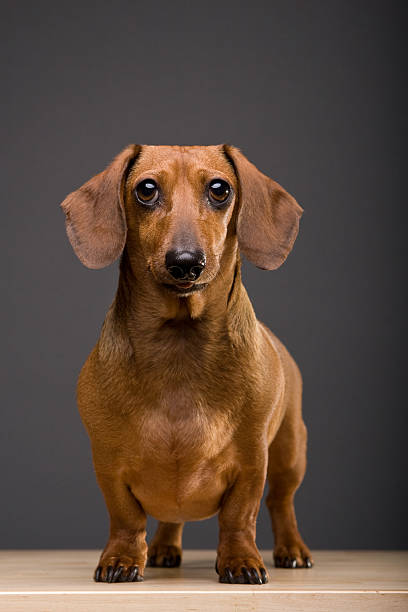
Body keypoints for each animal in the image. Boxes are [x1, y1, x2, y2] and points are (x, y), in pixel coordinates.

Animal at [60, 143, 312, 584]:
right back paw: (163, 548)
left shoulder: (252, 462)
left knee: (281, 503)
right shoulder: (107, 462)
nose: (185, 262)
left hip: (289, 452)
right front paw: (122, 558)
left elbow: (240, 516)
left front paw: (241, 560)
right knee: (171, 517)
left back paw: (292, 549)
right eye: (145, 189)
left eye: (219, 189)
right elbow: (125, 518)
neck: (178, 346)